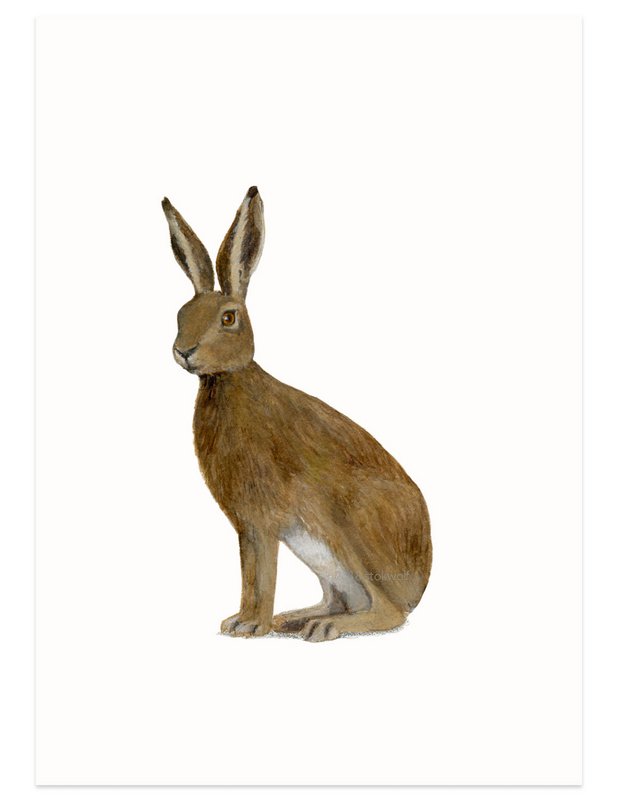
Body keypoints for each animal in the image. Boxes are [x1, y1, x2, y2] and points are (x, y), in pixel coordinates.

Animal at [162, 187, 432, 642]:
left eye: (228, 318)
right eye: (181, 314)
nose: (183, 351)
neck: (226, 381)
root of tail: (421, 586)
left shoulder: (262, 520)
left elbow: (263, 574)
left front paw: (252, 624)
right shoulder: (247, 528)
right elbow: (250, 574)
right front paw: (239, 621)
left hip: (350, 528)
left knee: (388, 612)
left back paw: (322, 627)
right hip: (326, 560)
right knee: (342, 599)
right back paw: (297, 618)